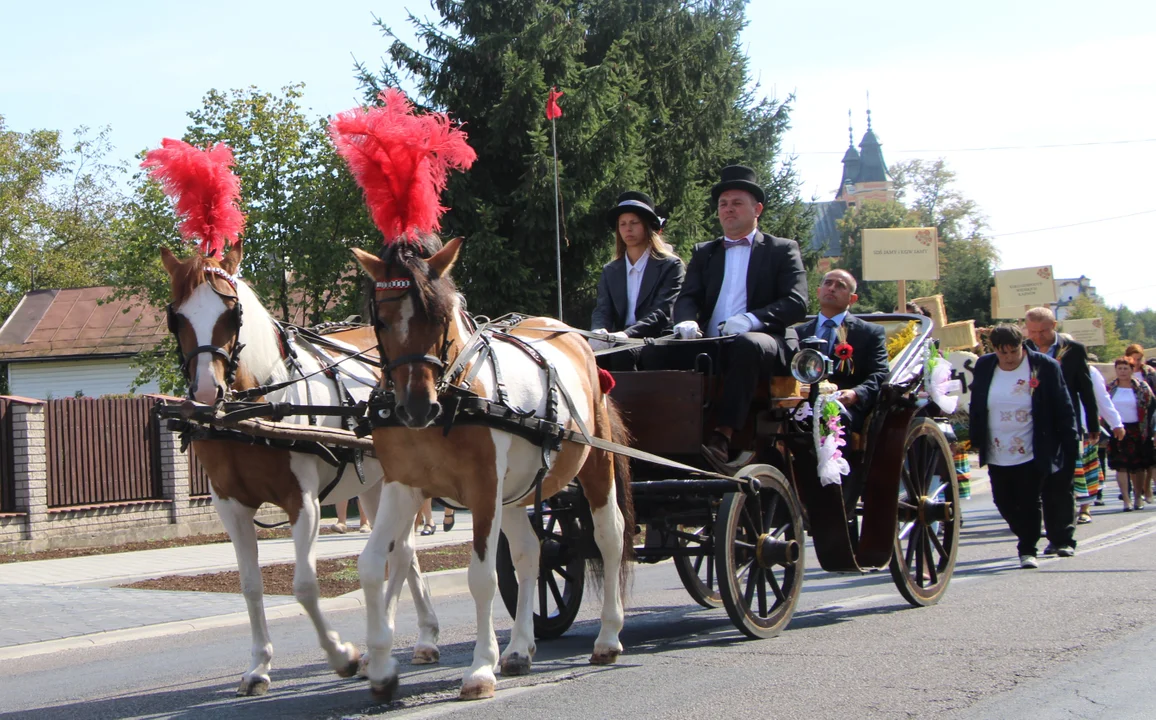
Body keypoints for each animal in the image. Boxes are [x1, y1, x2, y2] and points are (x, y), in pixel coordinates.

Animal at [158, 243, 436, 698]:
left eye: (231, 312)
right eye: (176, 316)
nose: (206, 393)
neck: (251, 411)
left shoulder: (302, 502)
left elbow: (304, 587)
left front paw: (343, 655)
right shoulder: (230, 506)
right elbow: (250, 586)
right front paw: (258, 666)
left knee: (404, 552)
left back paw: (407, 641)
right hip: (376, 485)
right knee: (402, 553)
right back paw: (417, 635)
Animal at [349, 238, 638, 702]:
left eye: (439, 316)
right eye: (381, 318)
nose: (416, 407)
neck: (455, 395)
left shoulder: (483, 489)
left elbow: (481, 576)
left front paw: (481, 668)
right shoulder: (402, 486)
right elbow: (373, 565)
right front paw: (379, 668)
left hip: (595, 463)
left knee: (609, 535)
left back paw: (608, 637)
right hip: (516, 493)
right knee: (530, 553)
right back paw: (520, 648)